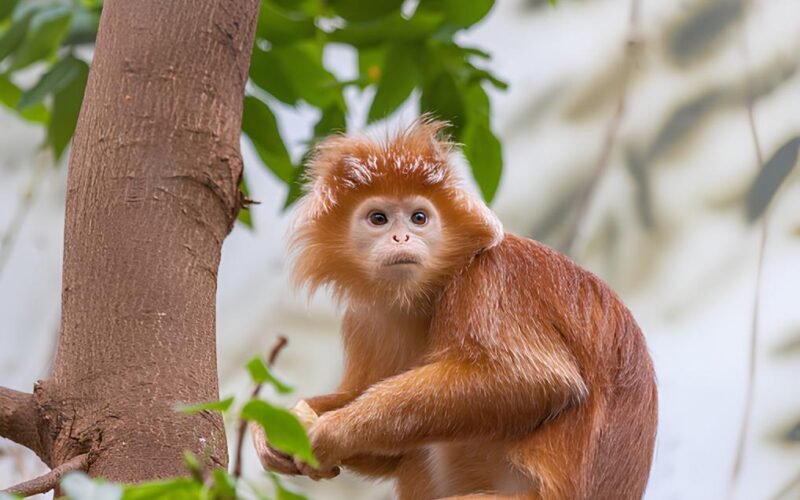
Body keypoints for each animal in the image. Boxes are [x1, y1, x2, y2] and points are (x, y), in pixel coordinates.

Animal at [253, 118, 660, 500]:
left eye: (419, 218)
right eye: (378, 219)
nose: (402, 236)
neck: (428, 294)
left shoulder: (488, 279)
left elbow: (536, 379)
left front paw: (329, 432)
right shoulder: (366, 319)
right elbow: (389, 450)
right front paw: (273, 424)